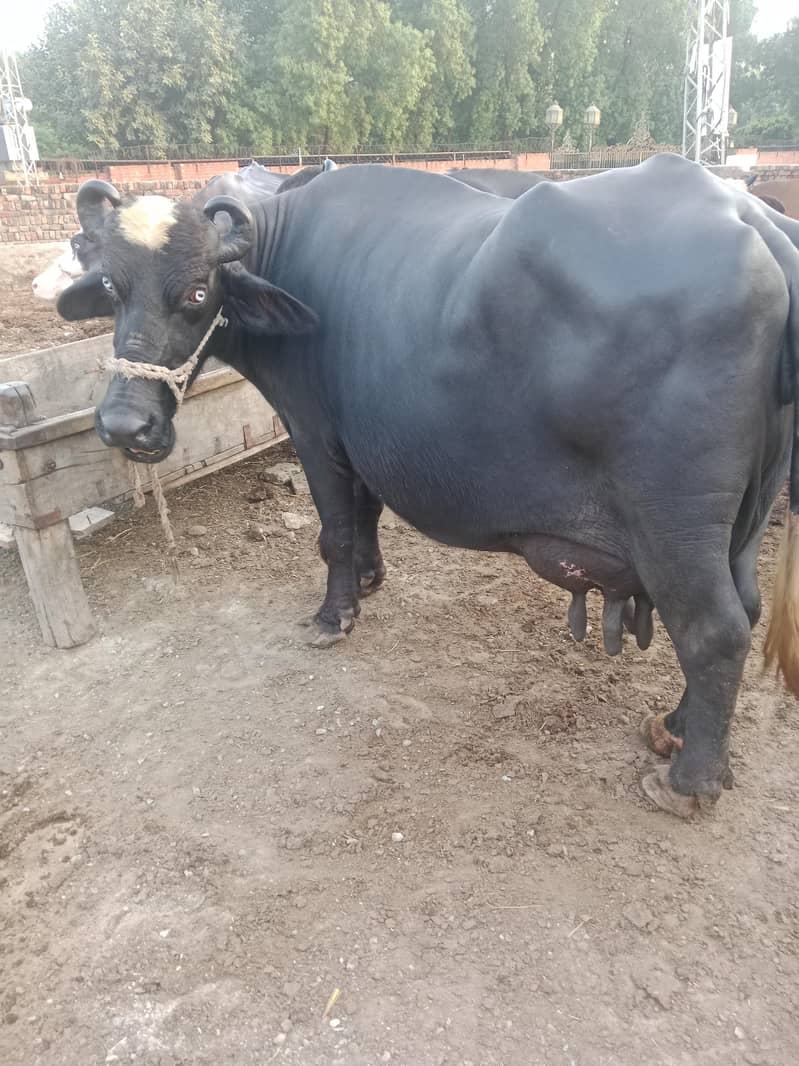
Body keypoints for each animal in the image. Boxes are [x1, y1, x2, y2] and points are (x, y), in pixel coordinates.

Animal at [56, 154, 799, 819]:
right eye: (113, 289)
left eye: (196, 292)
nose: (125, 424)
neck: (285, 255)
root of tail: (754, 221)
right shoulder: (360, 439)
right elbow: (365, 513)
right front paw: (368, 579)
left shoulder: (314, 433)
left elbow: (333, 531)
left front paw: (334, 613)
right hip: (745, 517)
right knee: (747, 606)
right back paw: (677, 726)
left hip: (675, 527)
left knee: (714, 631)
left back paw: (688, 781)